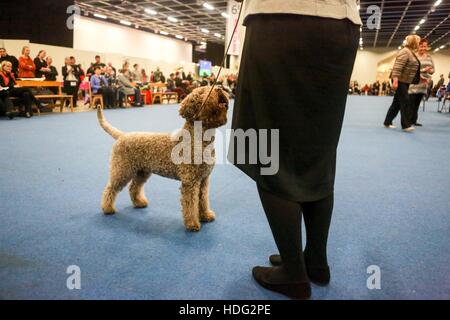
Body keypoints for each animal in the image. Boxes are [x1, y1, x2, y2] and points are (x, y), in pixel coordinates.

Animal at [96, 86, 229, 231]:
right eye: (202, 92)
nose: (219, 88)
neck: (197, 139)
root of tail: (122, 135)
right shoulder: (190, 181)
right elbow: (191, 203)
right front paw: (192, 223)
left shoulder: (204, 180)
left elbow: (203, 199)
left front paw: (205, 215)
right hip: (122, 170)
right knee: (110, 188)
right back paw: (107, 208)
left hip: (142, 171)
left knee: (134, 187)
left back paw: (139, 202)